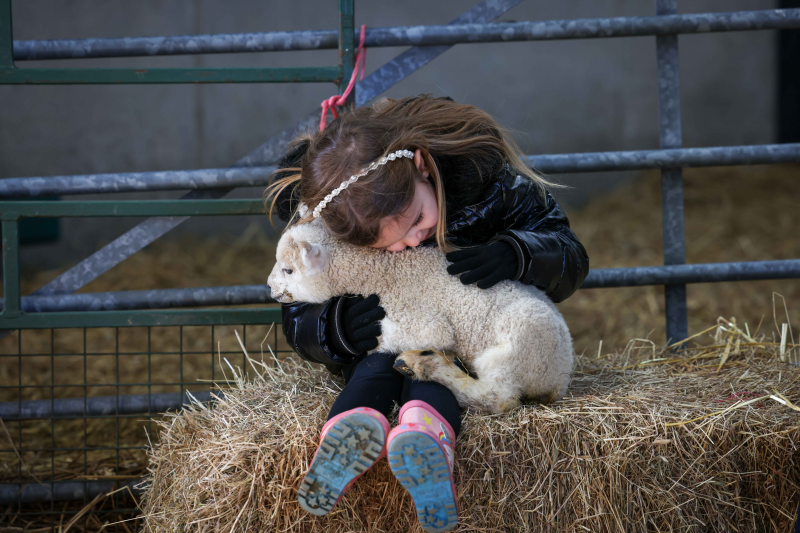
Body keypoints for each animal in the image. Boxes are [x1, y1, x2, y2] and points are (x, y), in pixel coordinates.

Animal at [267, 219, 574, 413]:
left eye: (288, 270)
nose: (269, 287)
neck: (378, 272)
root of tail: (559, 379)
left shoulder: (420, 320)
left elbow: (409, 336)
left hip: (519, 345)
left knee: (499, 398)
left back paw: (424, 365)